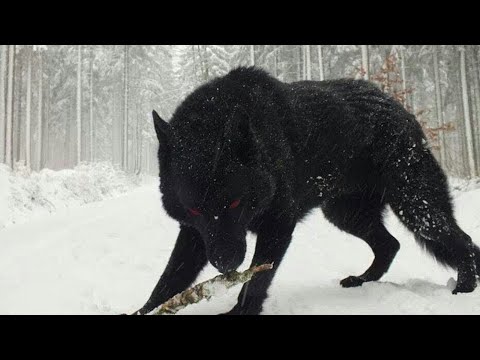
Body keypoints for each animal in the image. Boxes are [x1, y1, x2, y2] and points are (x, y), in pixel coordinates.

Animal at [133, 66, 478, 314]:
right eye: (194, 209)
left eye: (234, 203)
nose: (225, 264)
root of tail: (399, 107)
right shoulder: (195, 234)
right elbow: (168, 280)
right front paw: (144, 310)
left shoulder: (277, 227)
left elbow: (256, 281)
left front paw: (240, 312)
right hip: (346, 214)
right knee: (389, 245)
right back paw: (362, 281)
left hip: (417, 208)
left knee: (464, 242)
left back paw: (463, 289)